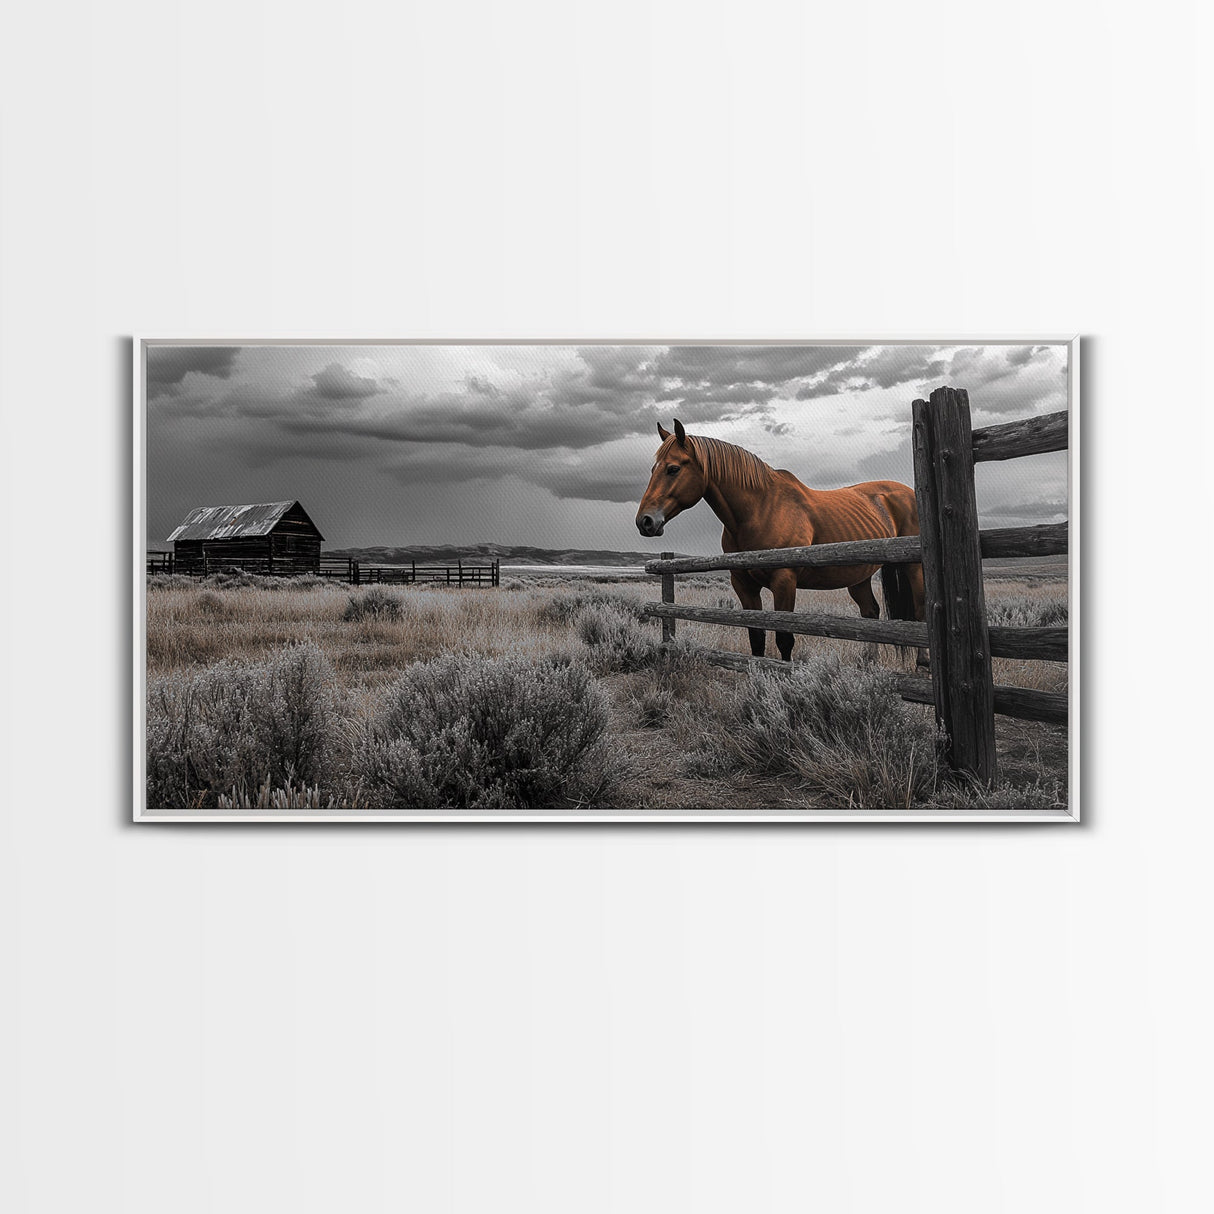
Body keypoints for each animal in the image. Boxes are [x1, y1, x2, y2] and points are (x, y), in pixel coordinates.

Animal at [635, 419, 926, 662]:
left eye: (673, 469)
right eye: (652, 469)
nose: (644, 521)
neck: (759, 510)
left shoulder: (784, 582)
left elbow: (784, 639)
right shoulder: (744, 585)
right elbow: (756, 638)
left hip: (914, 568)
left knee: (920, 611)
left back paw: (921, 663)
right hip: (859, 577)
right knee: (870, 614)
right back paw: (869, 662)